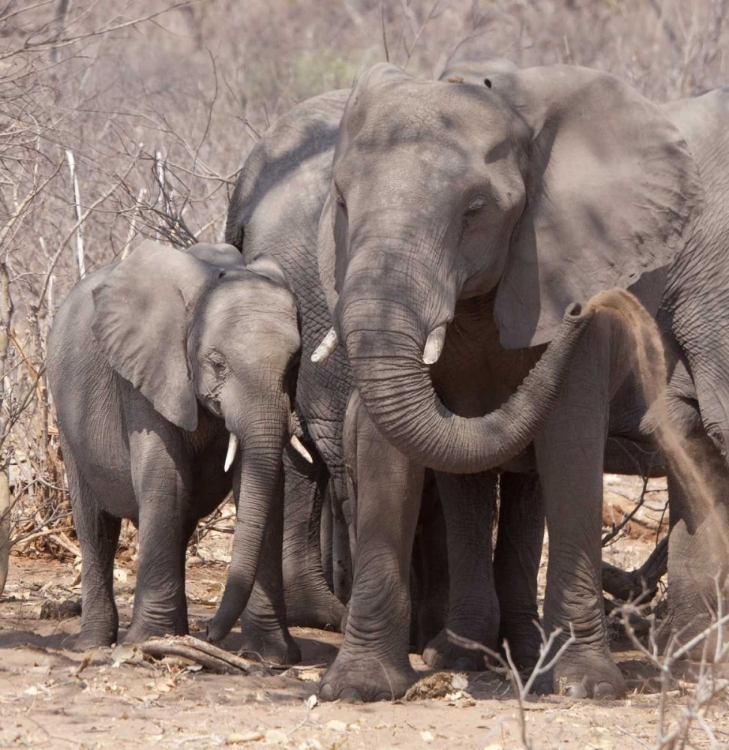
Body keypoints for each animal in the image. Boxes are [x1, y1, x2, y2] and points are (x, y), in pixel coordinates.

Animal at [47, 242, 304, 652]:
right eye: (217, 363)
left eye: (294, 364)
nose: (211, 631)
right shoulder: (145, 373)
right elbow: (167, 481)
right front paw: (149, 640)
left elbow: (265, 486)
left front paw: (272, 655)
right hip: (67, 413)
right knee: (96, 526)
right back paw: (95, 645)